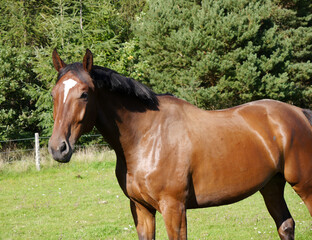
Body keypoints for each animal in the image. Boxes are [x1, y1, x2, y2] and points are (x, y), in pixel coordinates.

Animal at [48, 49, 312, 240]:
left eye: (84, 94)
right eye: (53, 94)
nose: (58, 148)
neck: (146, 137)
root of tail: (299, 113)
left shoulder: (174, 208)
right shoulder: (141, 209)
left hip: (304, 185)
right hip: (272, 185)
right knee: (286, 226)